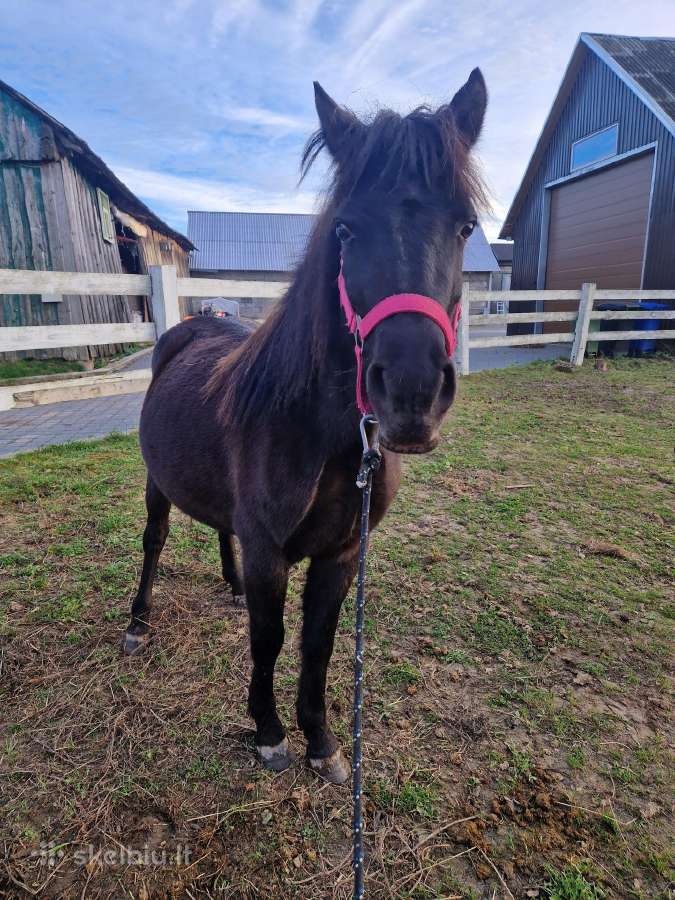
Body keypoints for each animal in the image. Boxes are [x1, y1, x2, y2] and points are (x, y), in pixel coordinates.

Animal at [124, 71, 488, 784]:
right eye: (344, 229)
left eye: (466, 225)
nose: (411, 392)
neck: (326, 440)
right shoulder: (270, 548)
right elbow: (268, 639)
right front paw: (268, 732)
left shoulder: (341, 553)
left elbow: (318, 643)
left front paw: (321, 740)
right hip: (158, 483)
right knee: (155, 540)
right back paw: (137, 621)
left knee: (220, 531)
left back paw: (230, 587)